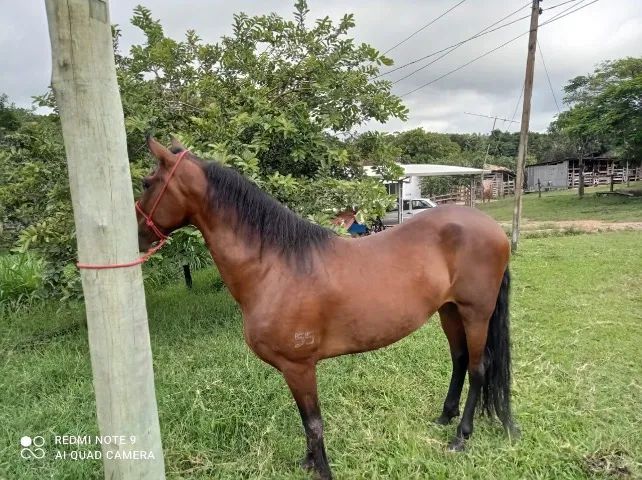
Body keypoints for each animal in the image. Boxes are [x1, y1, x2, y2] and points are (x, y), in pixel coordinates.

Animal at [136, 137, 515, 480]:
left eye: (146, 183)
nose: (138, 236)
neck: (275, 266)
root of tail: (493, 229)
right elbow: (307, 423)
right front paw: (307, 462)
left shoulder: (299, 367)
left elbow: (313, 423)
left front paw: (321, 469)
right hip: (449, 310)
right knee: (460, 360)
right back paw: (444, 417)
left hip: (475, 313)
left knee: (479, 368)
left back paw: (461, 436)